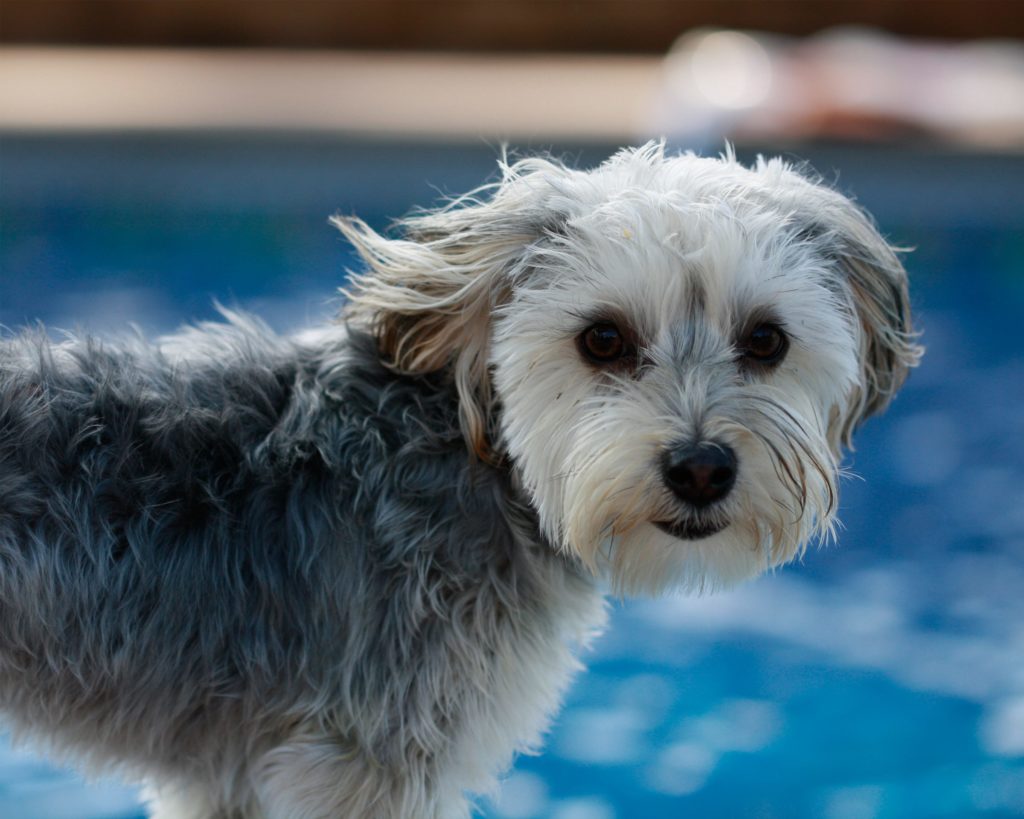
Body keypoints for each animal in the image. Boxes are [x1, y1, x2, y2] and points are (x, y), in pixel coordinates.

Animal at [0, 144, 917, 814]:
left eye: (766, 340)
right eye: (603, 340)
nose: (700, 467)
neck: (482, 465)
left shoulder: (234, 780)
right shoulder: (366, 764)